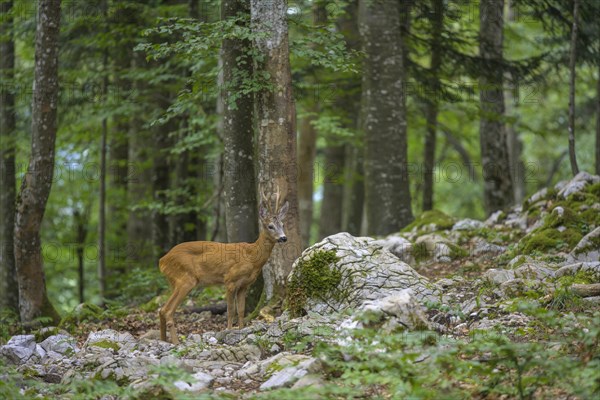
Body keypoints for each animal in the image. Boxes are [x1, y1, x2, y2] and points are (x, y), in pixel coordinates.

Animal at [157, 187, 288, 344]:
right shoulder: (229, 280)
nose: (283, 238)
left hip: (175, 281)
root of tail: (162, 261)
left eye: (282, 224)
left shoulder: (244, 285)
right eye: (270, 226)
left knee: (162, 309)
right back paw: (176, 342)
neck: (252, 257)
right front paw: (229, 331)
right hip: (186, 279)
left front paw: (241, 331)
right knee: (168, 310)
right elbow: (231, 310)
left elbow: (241, 310)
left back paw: (164, 340)